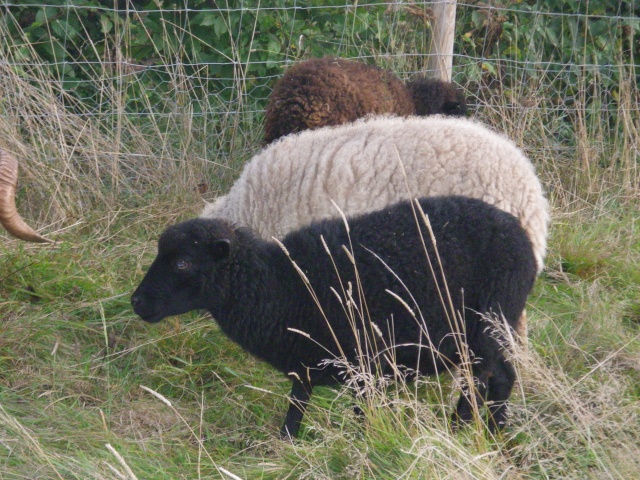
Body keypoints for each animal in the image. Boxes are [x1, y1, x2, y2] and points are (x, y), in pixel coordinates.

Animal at [132, 196, 536, 438]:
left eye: (183, 263)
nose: (137, 302)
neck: (280, 284)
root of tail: (522, 236)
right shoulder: (306, 364)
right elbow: (296, 407)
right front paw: (286, 445)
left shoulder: (364, 365)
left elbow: (362, 414)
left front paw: (367, 443)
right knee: (492, 378)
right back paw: (482, 429)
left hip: (487, 323)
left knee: (490, 379)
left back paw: (473, 429)